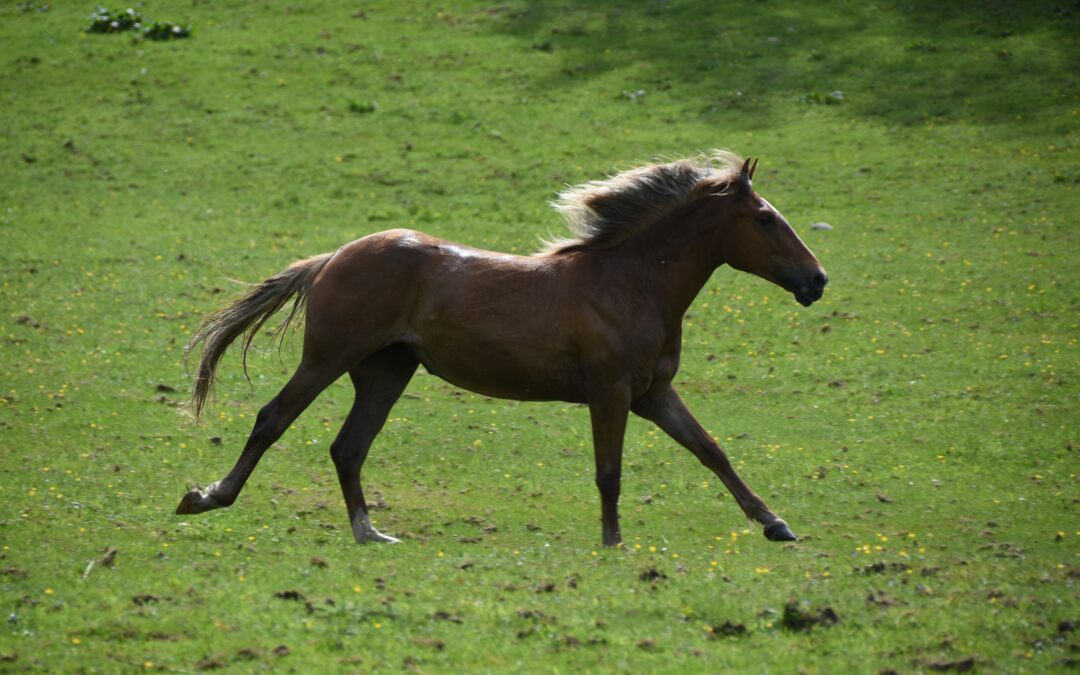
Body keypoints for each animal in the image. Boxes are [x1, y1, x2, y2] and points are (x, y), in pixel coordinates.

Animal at [181, 150, 829, 544]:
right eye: (766, 218)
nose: (817, 280)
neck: (631, 282)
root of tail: (333, 257)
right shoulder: (611, 393)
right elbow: (610, 472)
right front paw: (613, 543)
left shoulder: (653, 394)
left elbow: (712, 452)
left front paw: (776, 524)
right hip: (328, 359)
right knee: (273, 418)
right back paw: (207, 496)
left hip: (386, 372)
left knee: (348, 447)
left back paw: (371, 532)